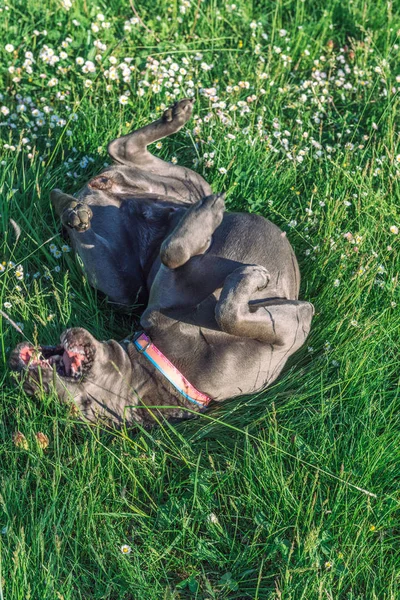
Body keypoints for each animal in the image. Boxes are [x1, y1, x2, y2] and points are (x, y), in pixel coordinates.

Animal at [10, 97, 314, 426]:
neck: (163, 367)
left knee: (119, 150)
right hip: (124, 285)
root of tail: (95, 187)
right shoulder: (292, 327)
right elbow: (224, 309)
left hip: (187, 185)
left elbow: (174, 252)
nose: (15, 362)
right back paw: (77, 211)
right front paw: (252, 277)